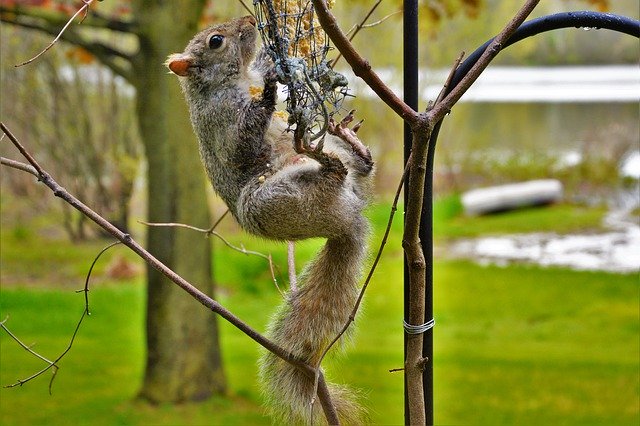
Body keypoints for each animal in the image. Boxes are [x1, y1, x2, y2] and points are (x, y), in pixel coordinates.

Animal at [166, 15, 376, 424]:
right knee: (337, 174)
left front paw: (269, 63)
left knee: (359, 169)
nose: (250, 20)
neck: (231, 81)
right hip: (272, 198)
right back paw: (326, 162)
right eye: (216, 41)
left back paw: (349, 143)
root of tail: (346, 221)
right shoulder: (222, 126)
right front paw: (267, 88)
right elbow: (243, 144)